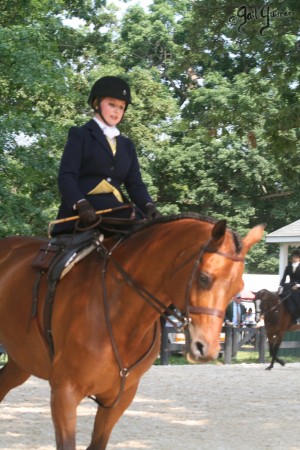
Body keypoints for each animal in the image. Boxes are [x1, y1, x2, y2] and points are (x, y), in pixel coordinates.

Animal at [0, 215, 262, 450]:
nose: (205, 348)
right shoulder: (65, 393)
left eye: (237, 288)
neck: (120, 313)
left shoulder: (119, 398)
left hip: (21, 362)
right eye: (204, 277)